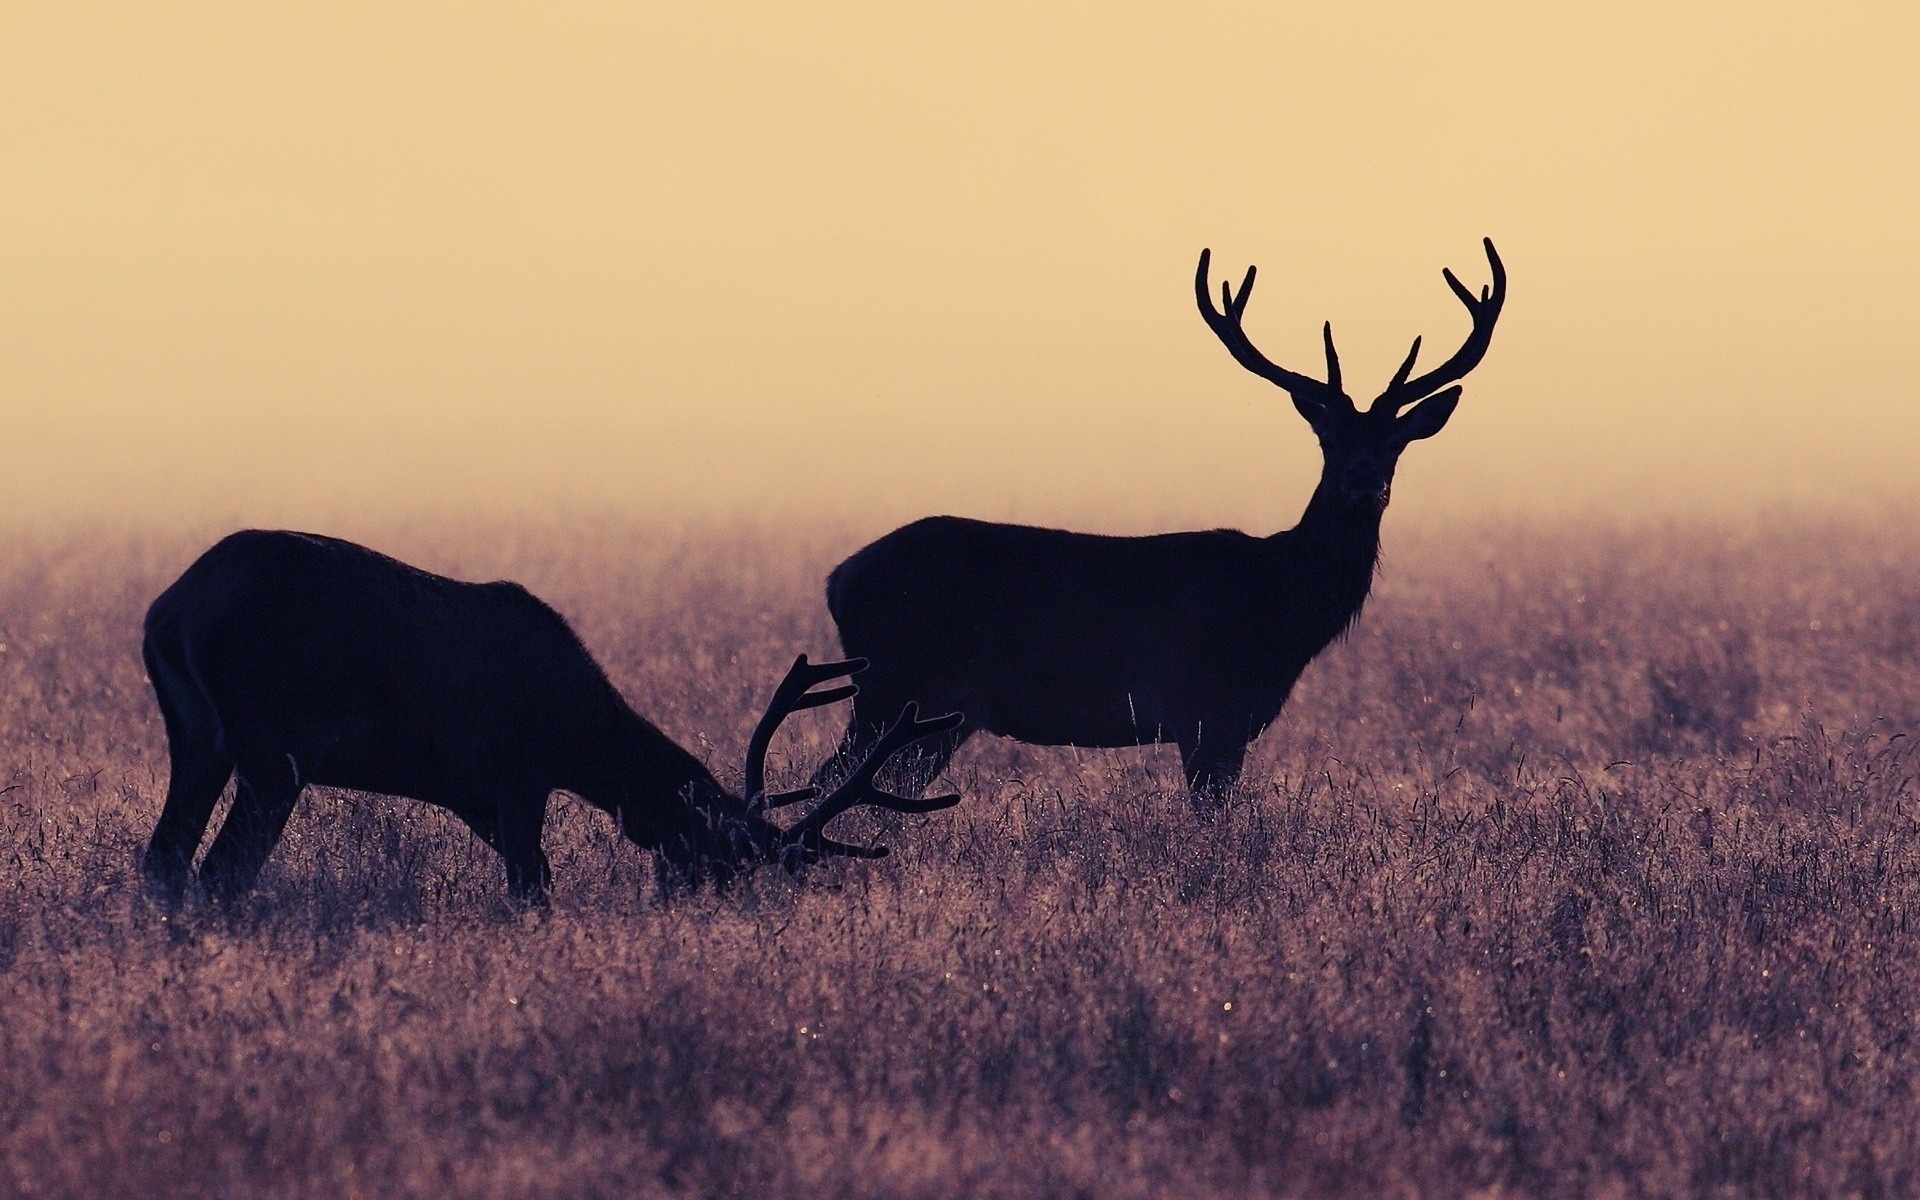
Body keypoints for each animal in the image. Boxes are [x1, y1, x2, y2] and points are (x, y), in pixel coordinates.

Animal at [139, 529, 964, 905]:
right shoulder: (517, 771)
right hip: (274, 746)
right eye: (721, 862)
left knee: (164, 860)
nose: (685, 912)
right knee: (222, 870)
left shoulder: (478, 796)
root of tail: (173, 610)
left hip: (198, 739)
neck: (580, 737)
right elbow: (530, 883)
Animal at [815, 239, 1505, 811]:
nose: (1364, 484)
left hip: (931, 712)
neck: (1280, 606)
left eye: (1395, 445)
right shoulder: (1207, 710)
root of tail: (838, 578)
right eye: (1328, 439)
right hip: (894, 686)